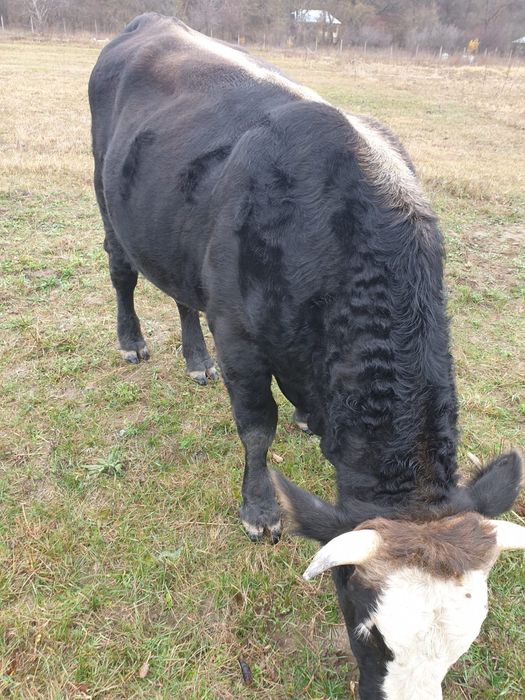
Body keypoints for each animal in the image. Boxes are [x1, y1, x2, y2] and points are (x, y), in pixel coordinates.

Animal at [89, 14, 525, 699]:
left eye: (464, 643)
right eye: (366, 632)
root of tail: (150, 20)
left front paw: (302, 417)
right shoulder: (239, 335)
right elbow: (256, 427)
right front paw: (260, 509)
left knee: (183, 296)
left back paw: (194, 360)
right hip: (108, 201)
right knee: (123, 273)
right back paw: (132, 341)